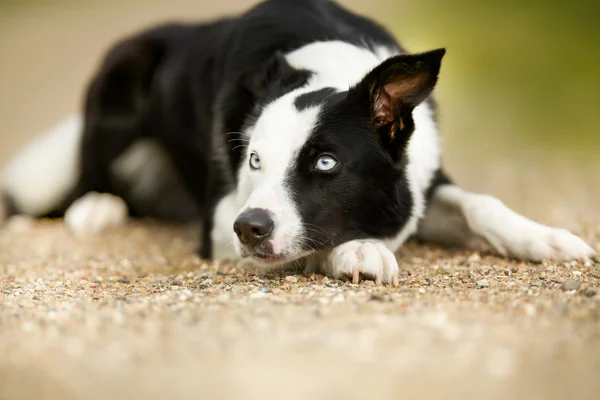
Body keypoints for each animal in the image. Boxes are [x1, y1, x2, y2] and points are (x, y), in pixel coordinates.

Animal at [2, 0, 592, 284]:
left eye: (326, 163)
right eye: (254, 160)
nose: (250, 229)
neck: (328, 66)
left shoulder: (419, 179)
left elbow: (479, 205)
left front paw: (547, 239)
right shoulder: (221, 216)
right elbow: (315, 243)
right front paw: (360, 250)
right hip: (120, 76)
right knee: (86, 173)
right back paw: (97, 206)